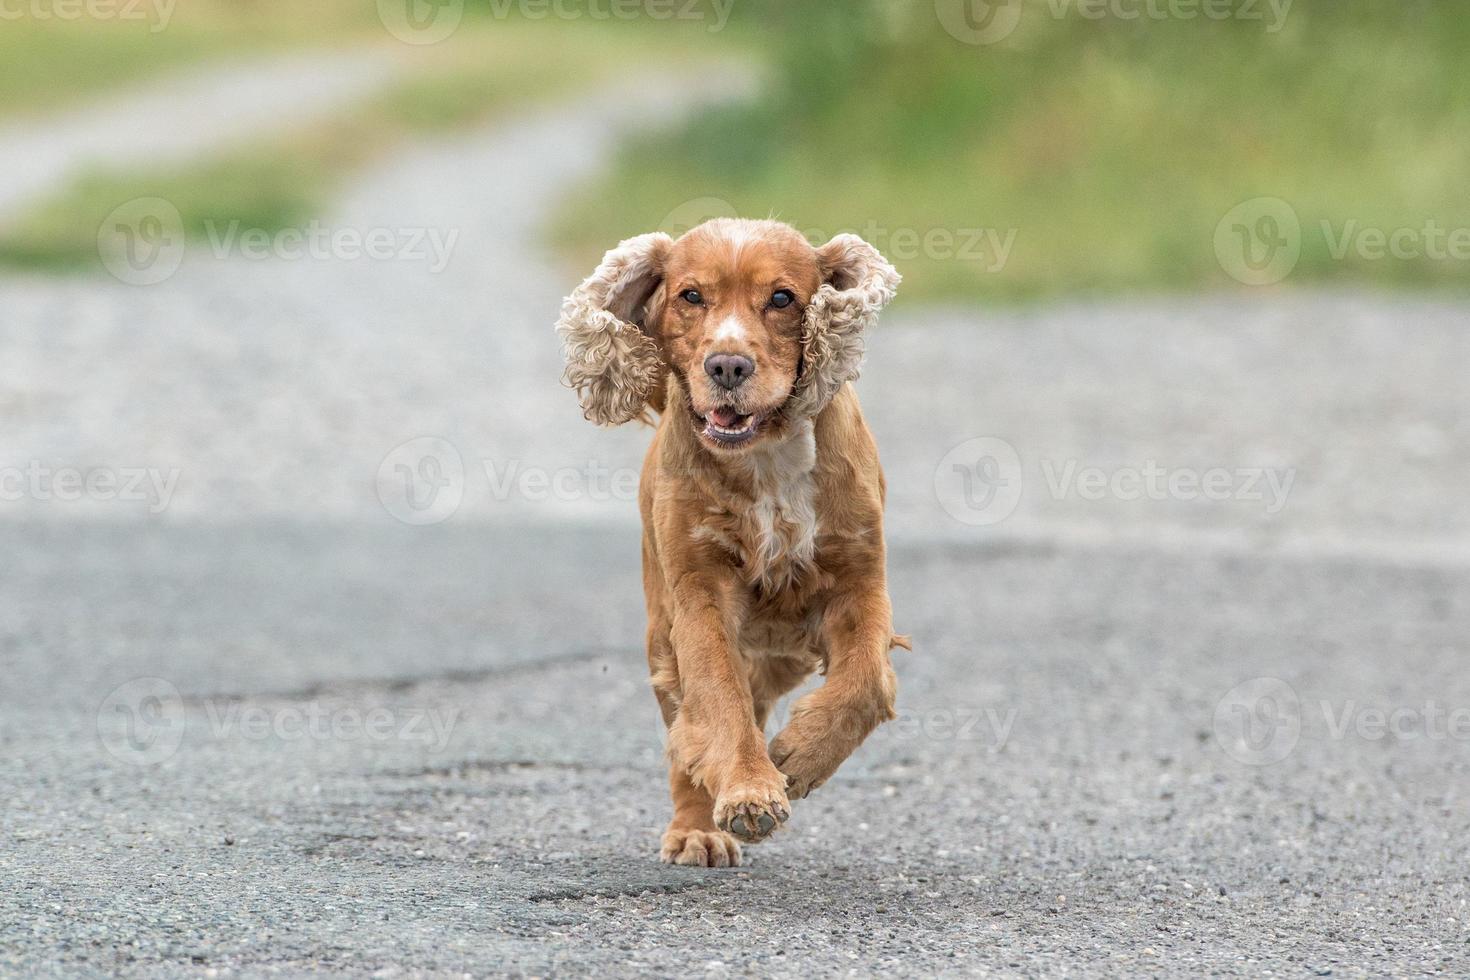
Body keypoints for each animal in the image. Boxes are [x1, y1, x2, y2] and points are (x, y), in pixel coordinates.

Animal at [552, 220, 905, 863]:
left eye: (783, 298)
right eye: (691, 295)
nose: (727, 366)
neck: (765, 456)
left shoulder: (860, 580)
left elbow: (865, 681)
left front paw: (797, 757)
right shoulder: (699, 591)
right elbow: (717, 697)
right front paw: (749, 791)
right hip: (661, 630)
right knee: (688, 728)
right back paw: (697, 830)